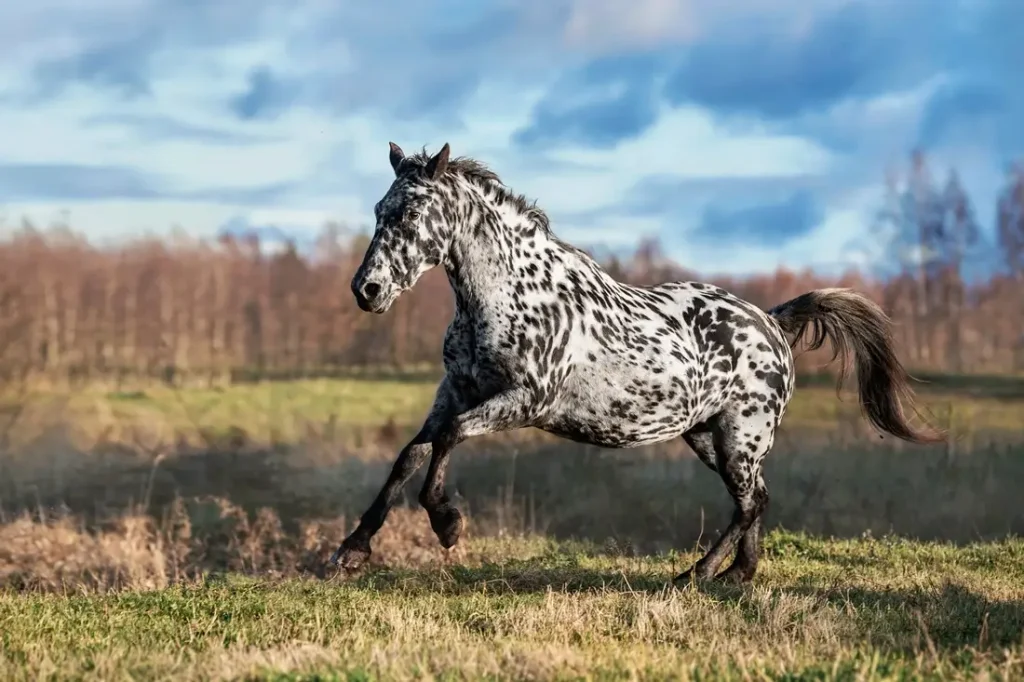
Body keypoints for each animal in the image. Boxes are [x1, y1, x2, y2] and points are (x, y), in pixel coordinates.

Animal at [329, 140, 942, 581]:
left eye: (412, 212)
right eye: (380, 210)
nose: (367, 290)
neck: (507, 293)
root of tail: (773, 322)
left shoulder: (524, 400)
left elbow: (449, 437)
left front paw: (448, 523)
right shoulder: (456, 389)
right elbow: (413, 452)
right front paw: (351, 550)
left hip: (740, 436)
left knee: (749, 502)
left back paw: (695, 576)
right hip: (707, 436)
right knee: (756, 498)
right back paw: (738, 575)